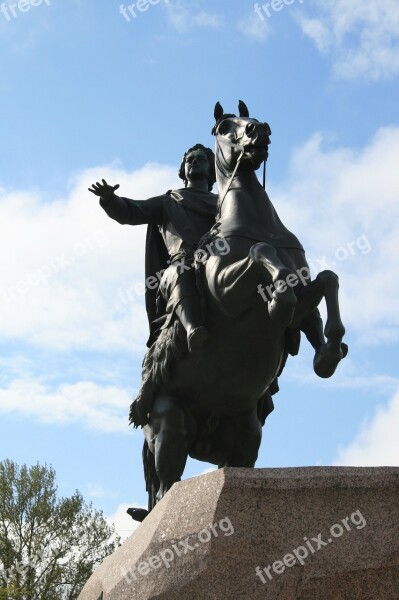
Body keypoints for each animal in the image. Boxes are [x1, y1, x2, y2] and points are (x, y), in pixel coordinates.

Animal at [133, 101, 348, 516]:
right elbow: (262, 255)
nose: (258, 130)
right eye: (223, 126)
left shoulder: (305, 287)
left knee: (233, 463)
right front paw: (278, 300)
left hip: (247, 434)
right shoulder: (226, 291)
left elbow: (326, 281)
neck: (257, 223)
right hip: (170, 424)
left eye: (251, 117)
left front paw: (329, 352)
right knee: (165, 488)